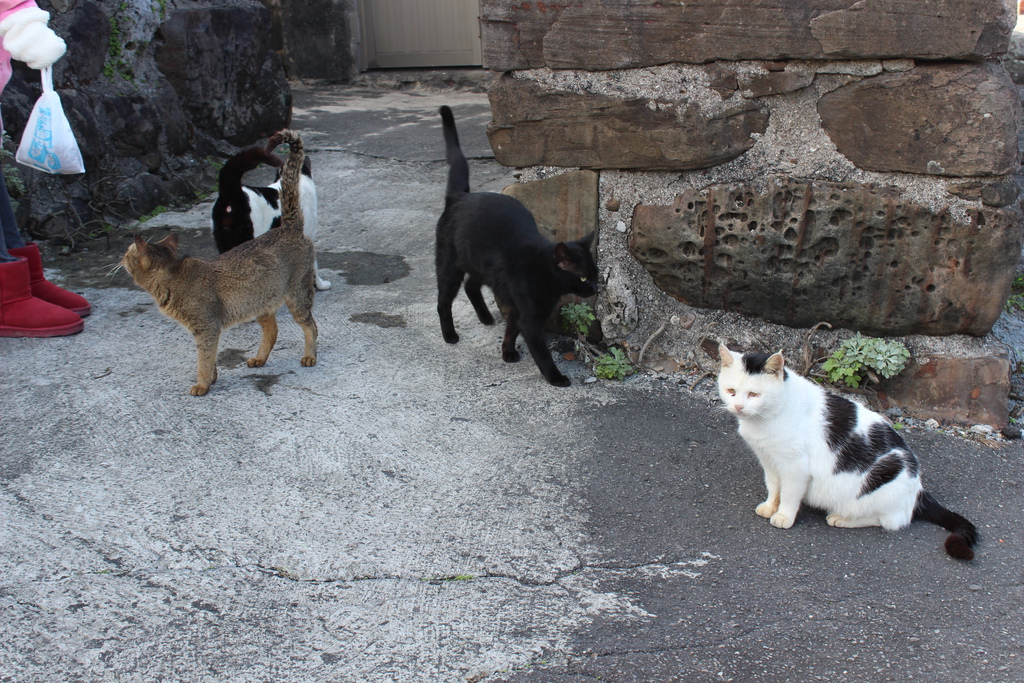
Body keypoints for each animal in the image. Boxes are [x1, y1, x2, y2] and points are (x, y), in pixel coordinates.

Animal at [122, 129, 317, 395]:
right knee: (273, 330)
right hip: (259, 301)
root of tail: (288, 226)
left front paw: (202, 384)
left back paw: (310, 356)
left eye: (127, 253)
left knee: (311, 326)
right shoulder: (207, 331)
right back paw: (260, 359)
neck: (173, 278)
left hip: (297, 294)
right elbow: (211, 357)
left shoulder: (206, 329)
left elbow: (204, 359)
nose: (121, 258)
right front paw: (212, 379)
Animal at [434, 104, 598, 387]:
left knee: (471, 285)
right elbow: (541, 352)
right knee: (444, 300)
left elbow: (511, 330)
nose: (597, 288)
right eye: (584, 278)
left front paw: (507, 353)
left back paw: (486, 317)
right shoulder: (530, 318)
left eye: (596, 274)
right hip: (449, 267)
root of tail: (459, 196)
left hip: (479, 263)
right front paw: (556, 377)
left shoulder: (518, 310)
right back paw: (450, 335)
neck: (545, 278)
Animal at [716, 342, 978, 561]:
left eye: (754, 394)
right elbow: (774, 487)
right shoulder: (769, 461)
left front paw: (784, 516)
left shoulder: (795, 467)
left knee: (889, 520)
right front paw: (771, 506)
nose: (738, 406)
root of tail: (918, 489)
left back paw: (840, 518)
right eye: (731, 391)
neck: (765, 419)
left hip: (887, 475)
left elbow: (789, 494)